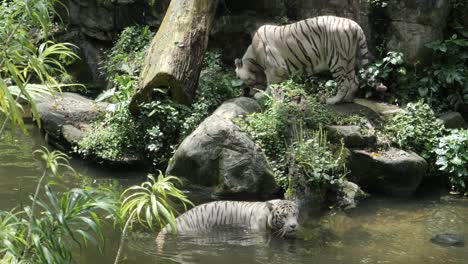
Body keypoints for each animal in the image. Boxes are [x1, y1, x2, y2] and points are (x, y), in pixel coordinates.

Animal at [236, 15, 372, 105]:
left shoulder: (273, 68)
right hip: (349, 60)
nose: (247, 92)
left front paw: (261, 94)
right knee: (354, 82)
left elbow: (271, 84)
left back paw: (333, 100)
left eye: (245, 80)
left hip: (336, 60)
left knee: (344, 83)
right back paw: (348, 99)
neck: (253, 57)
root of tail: (354, 25)